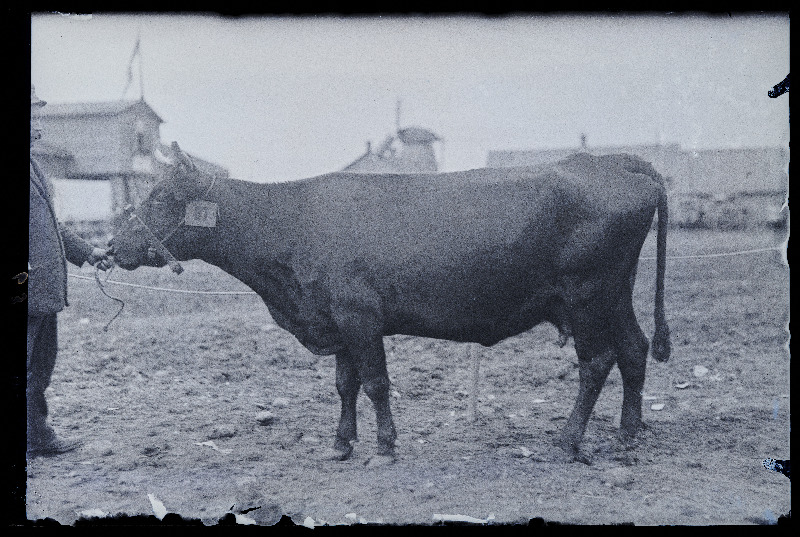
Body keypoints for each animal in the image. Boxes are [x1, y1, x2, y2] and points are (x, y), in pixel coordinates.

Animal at [108, 143, 668, 464]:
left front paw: (383, 447)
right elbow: (345, 384)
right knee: (634, 349)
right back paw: (629, 435)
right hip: (616, 294)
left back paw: (570, 442)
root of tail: (614, 161)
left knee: (597, 361)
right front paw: (341, 444)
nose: (111, 246)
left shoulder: (360, 317)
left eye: (160, 197)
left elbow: (375, 382)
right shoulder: (333, 319)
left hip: (586, 295)